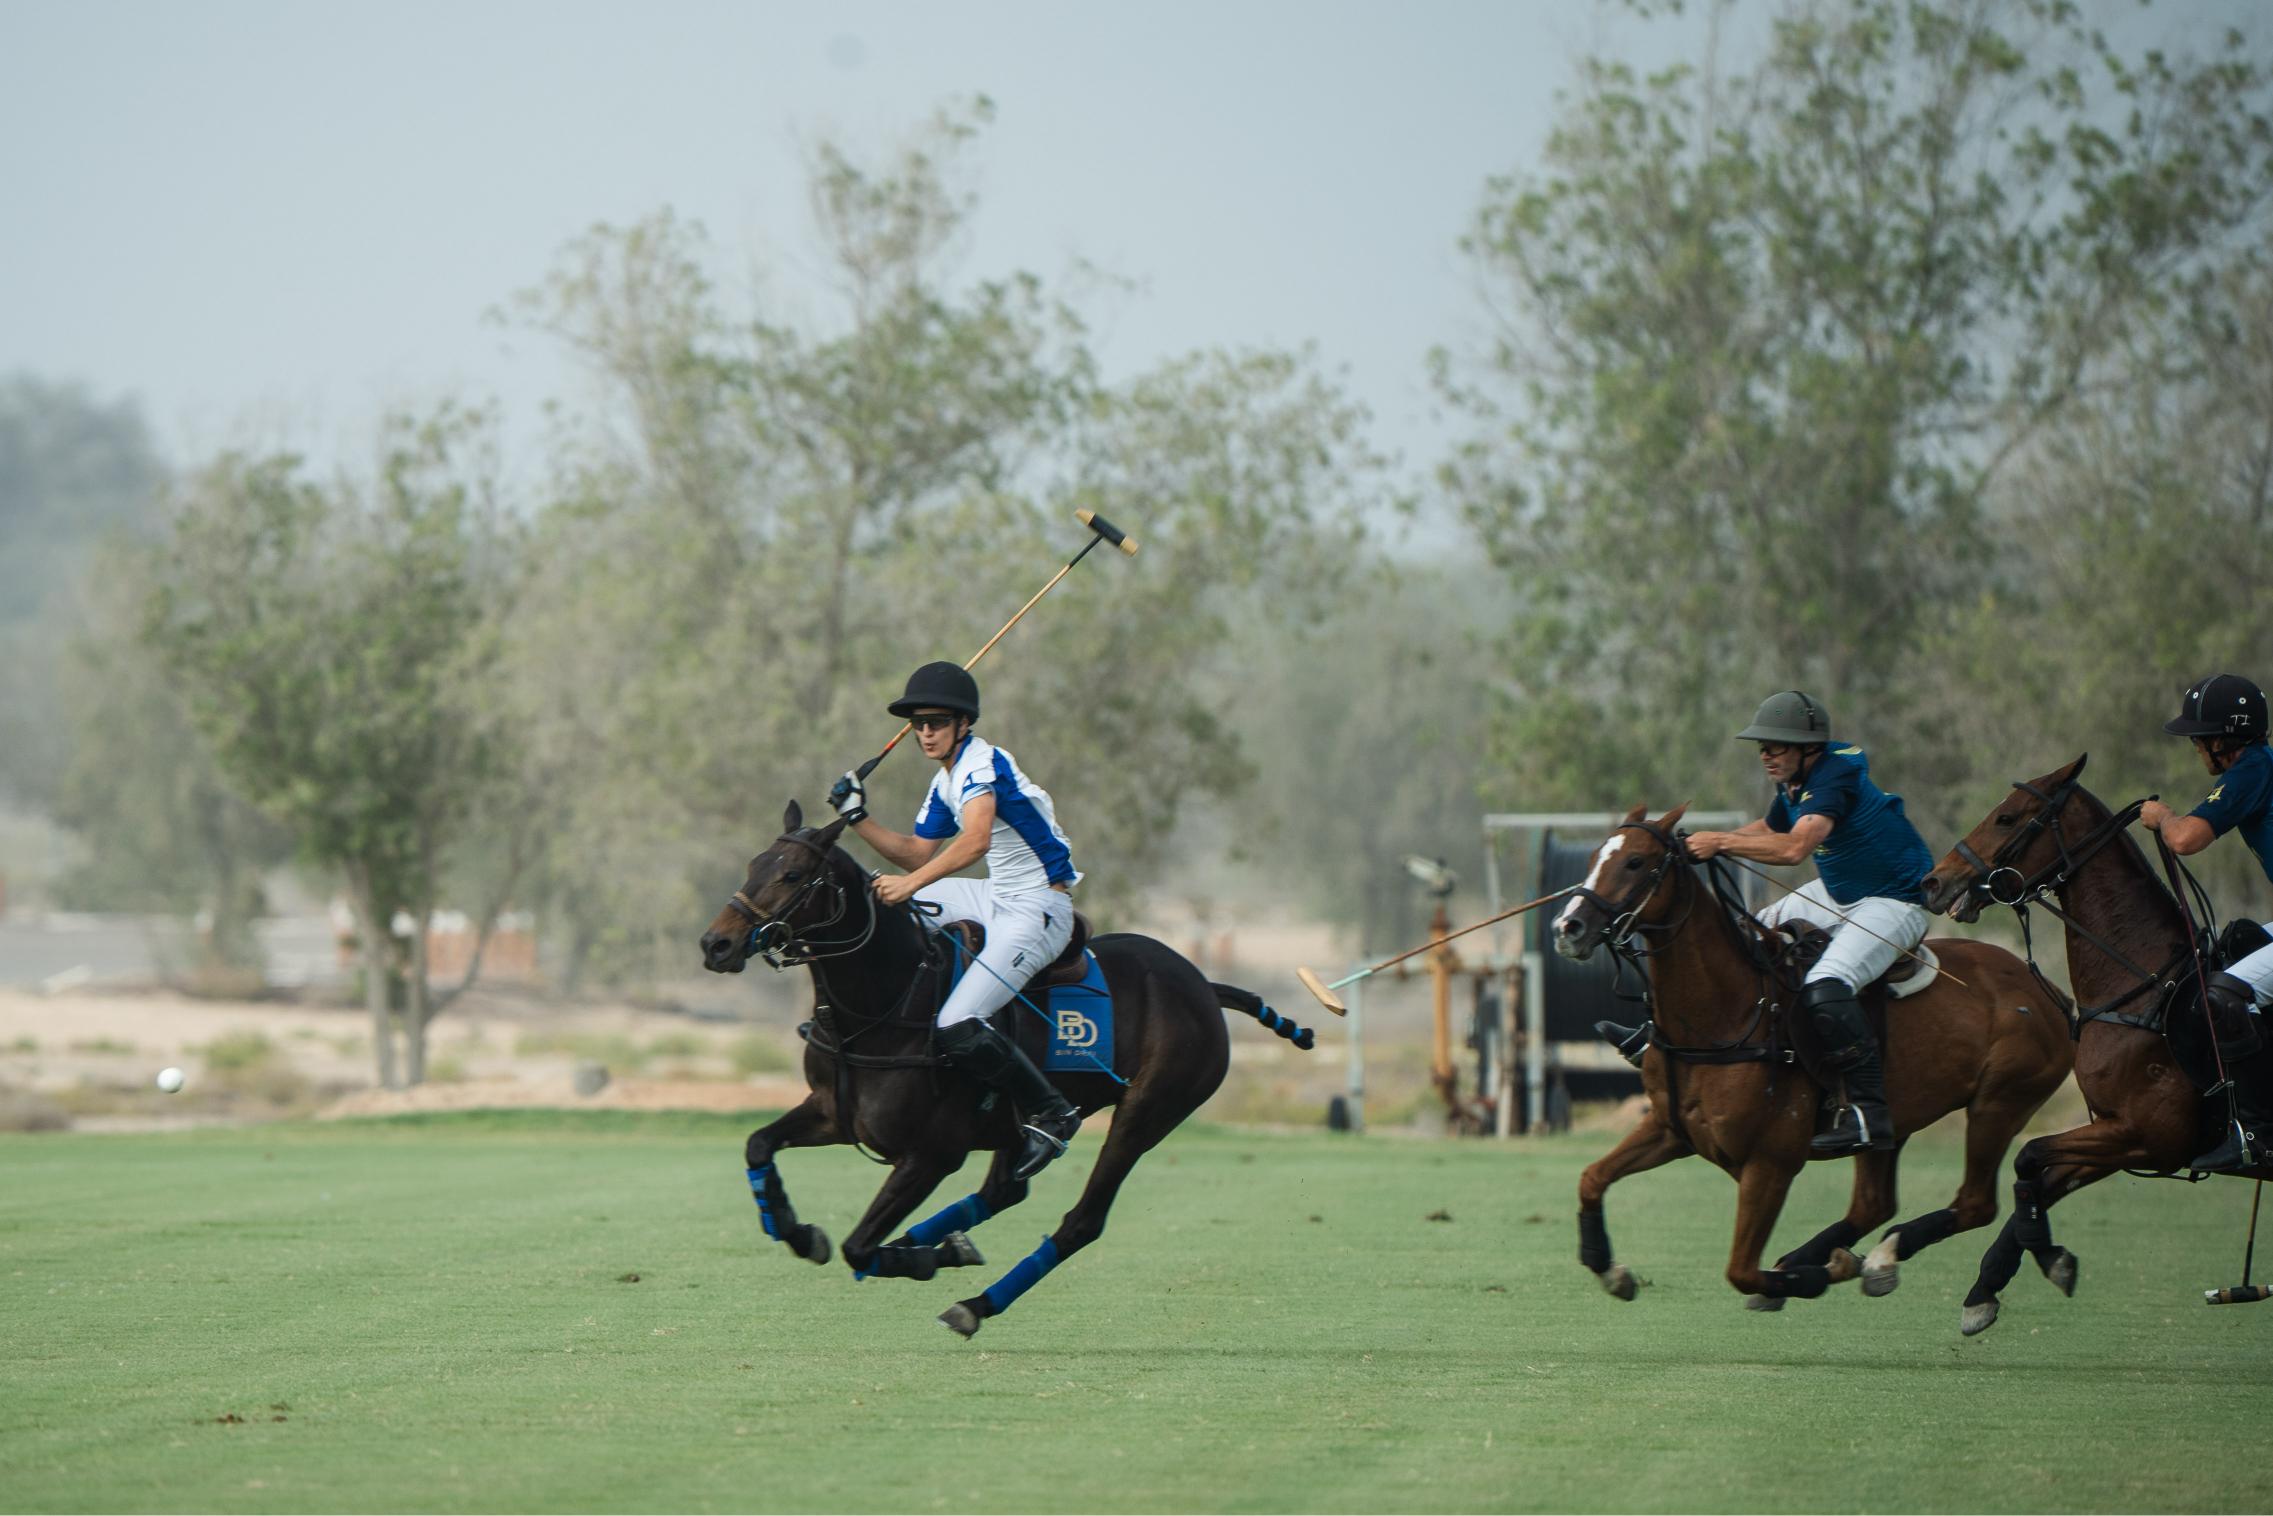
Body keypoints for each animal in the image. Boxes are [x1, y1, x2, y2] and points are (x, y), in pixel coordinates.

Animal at [696, 801, 1318, 1338]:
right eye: (754, 865)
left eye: (794, 875)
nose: (715, 943)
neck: (883, 1007)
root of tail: (1204, 985)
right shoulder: (832, 1114)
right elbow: (759, 1144)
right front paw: (794, 1229)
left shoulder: (933, 1154)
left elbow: (858, 1245)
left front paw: (920, 1257)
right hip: (1014, 1127)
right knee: (1005, 1190)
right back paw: (940, 1244)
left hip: (1146, 1114)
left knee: (1081, 1221)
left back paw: (973, 1300)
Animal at [1550, 805, 2074, 1317]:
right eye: (1595, 857)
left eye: (1636, 862)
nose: (1566, 929)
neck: (1724, 1014)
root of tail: (2050, 991)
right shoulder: (1670, 1129)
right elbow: (1590, 1177)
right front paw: (1611, 1270)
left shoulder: (1771, 1162)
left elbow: (1741, 1271)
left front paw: (1819, 1275)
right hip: (1896, 1121)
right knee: (1874, 1203)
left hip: (1999, 1102)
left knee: (1975, 1203)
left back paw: (1880, 1260)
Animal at [1921, 754, 2273, 1334]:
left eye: (2007, 816)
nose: (1934, 882)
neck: (2144, 982)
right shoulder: (2116, 1131)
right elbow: (2037, 1177)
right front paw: (1986, 1290)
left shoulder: (2151, 1134)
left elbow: (2029, 1157)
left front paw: (2048, 1258)